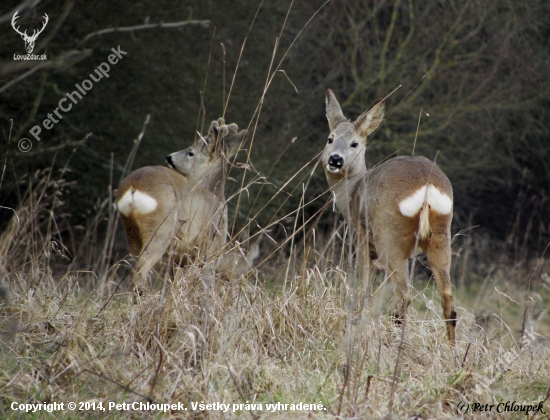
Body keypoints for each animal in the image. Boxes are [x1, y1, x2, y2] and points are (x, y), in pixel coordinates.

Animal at [118, 117, 248, 288]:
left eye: (190, 152)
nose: (169, 157)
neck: (215, 194)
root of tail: (134, 187)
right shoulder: (209, 248)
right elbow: (206, 284)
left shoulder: (182, 257)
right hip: (161, 228)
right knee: (140, 268)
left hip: (132, 231)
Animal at [324, 90, 458, 342]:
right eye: (330, 138)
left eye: (355, 143)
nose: (335, 159)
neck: (351, 193)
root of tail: (427, 184)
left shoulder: (361, 239)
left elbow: (365, 286)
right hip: (440, 235)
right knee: (448, 302)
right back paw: (451, 349)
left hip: (389, 234)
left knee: (405, 296)